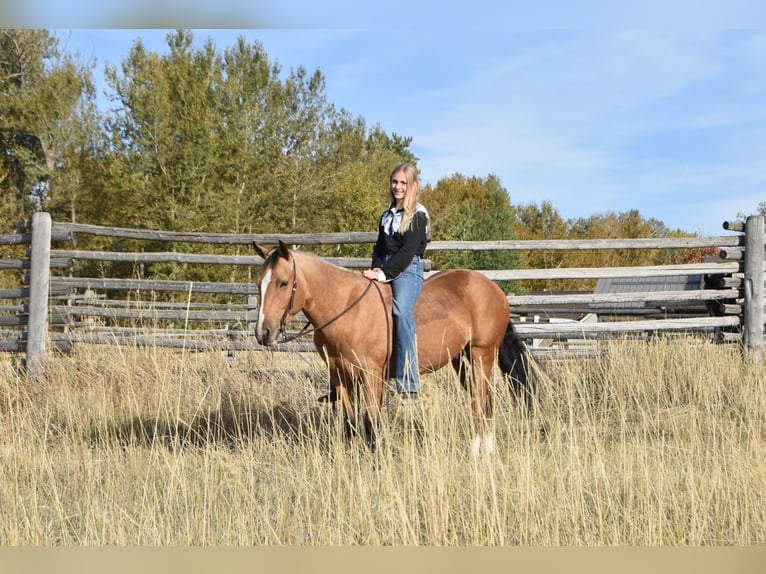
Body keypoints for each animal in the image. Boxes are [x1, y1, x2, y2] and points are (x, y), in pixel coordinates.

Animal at [252, 241, 533, 457]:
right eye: (258, 283)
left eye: (284, 283)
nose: (263, 332)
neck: (347, 308)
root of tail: (494, 289)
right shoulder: (340, 375)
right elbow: (350, 422)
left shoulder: (371, 374)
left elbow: (371, 422)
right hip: (460, 359)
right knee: (482, 399)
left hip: (481, 355)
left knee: (481, 402)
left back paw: (480, 454)